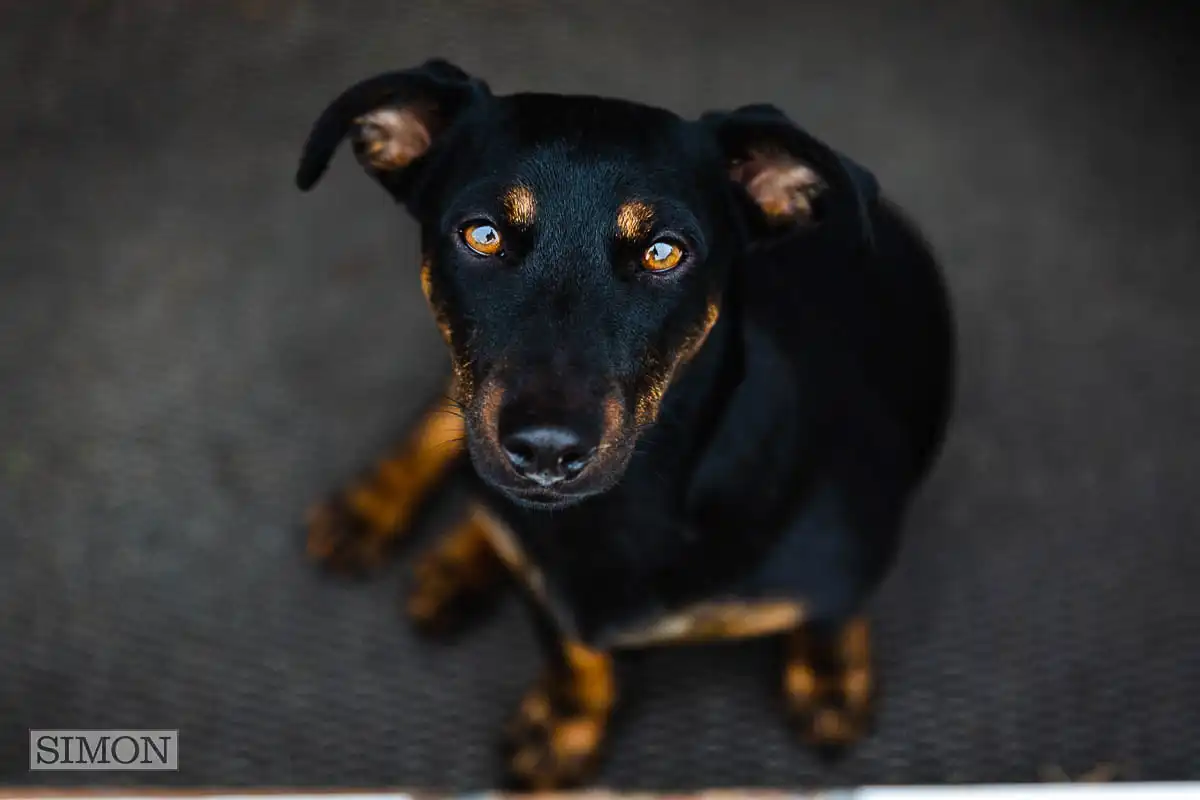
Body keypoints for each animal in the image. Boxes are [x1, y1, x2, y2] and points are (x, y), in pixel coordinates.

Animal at [292, 59, 955, 791]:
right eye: (482, 234)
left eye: (664, 252)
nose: (545, 451)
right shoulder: (548, 584)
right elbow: (571, 651)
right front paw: (565, 724)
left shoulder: (846, 556)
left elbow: (832, 619)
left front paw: (832, 682)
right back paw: (377, 514)